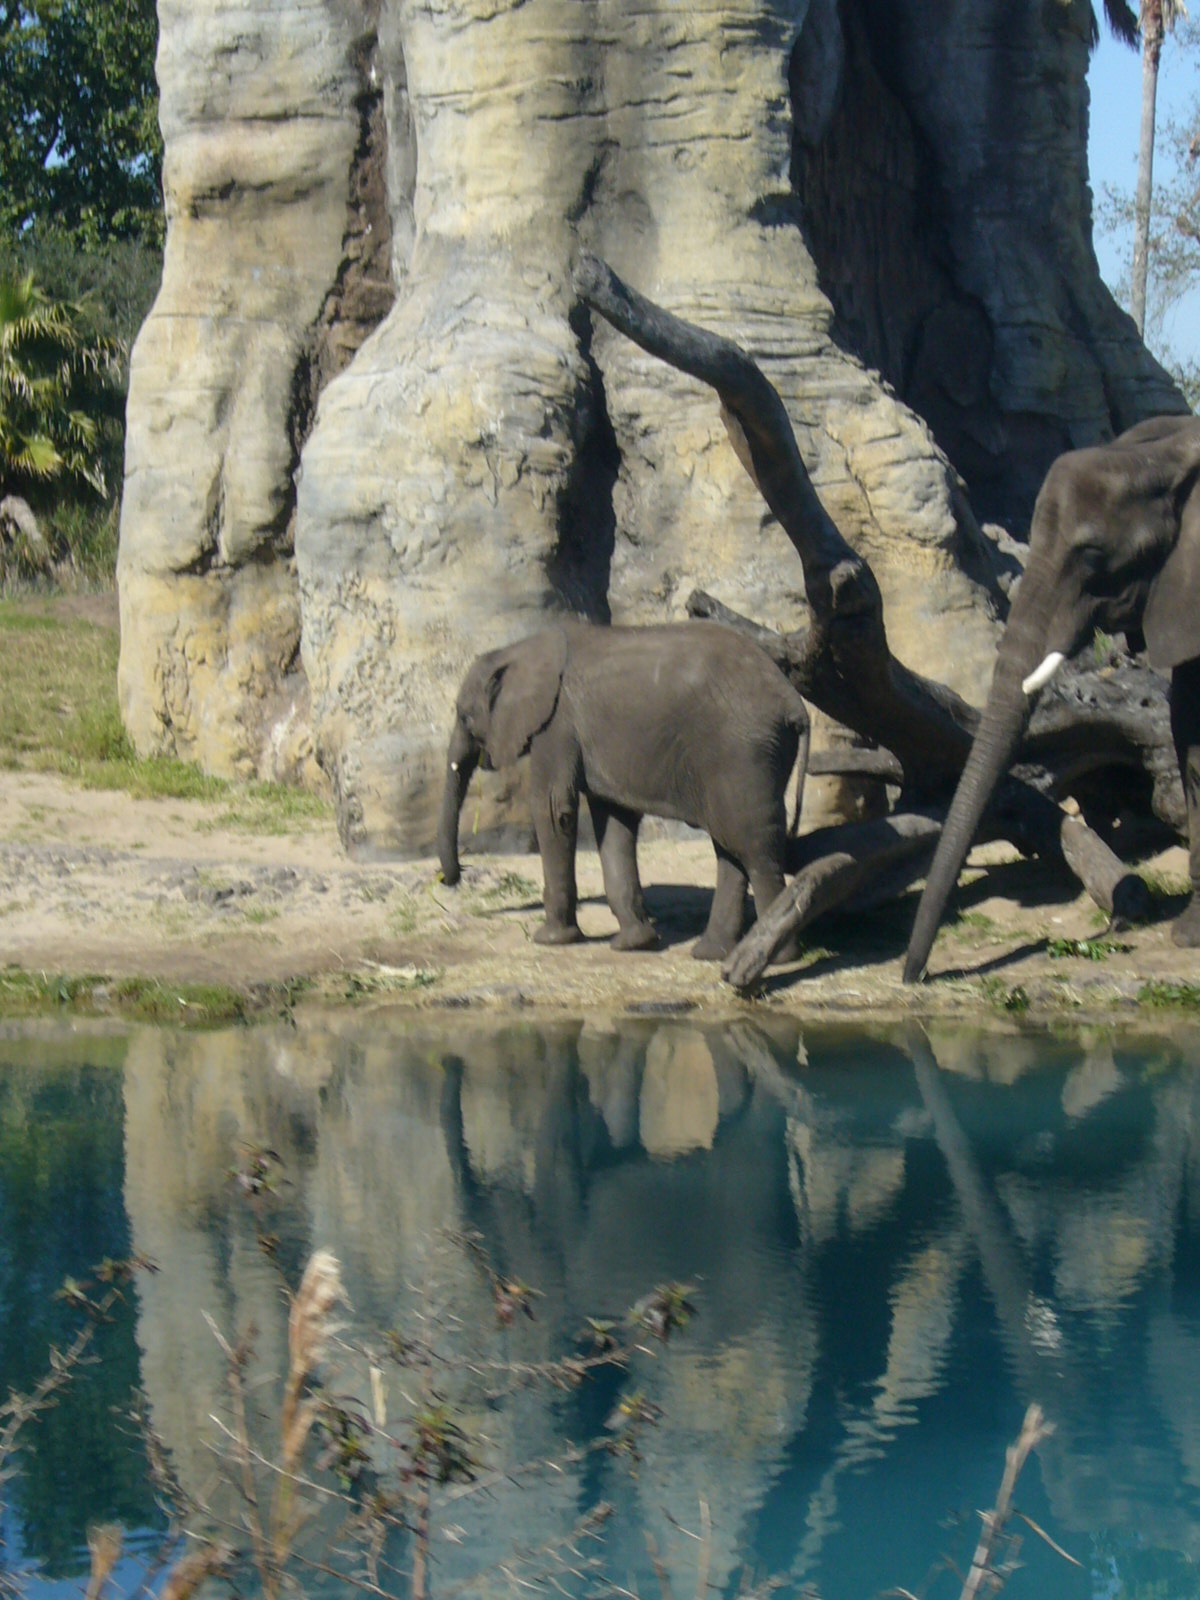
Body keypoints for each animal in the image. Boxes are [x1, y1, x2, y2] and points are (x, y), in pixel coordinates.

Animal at [438, 617, 812, 953]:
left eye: (464, 716)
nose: (452, 879)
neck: (517, 649)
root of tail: (793, 702)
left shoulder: (556, 724)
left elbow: (553, 809)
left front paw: (551, 940)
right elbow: (615, 821)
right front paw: (635, 943)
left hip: (742, 753)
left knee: (754, 846)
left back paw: (778, 955)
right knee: (730, 847)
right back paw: (711, 953)